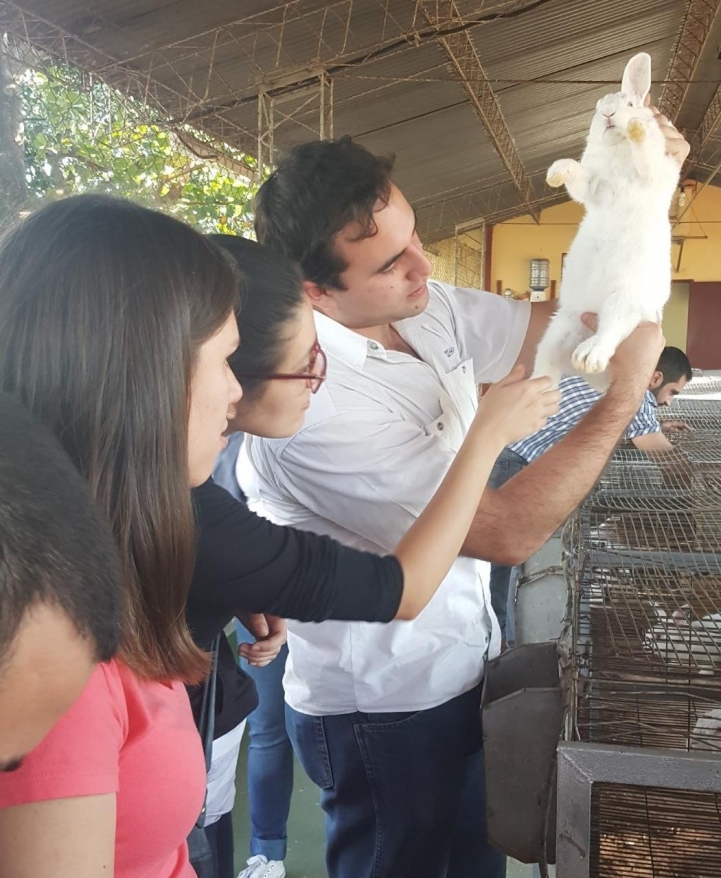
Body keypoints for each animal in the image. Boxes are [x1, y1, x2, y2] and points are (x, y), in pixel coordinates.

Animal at [532, 50, 676, 388]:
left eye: (632, 104)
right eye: (598, 107)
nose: (609, 114)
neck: (618, 147)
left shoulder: (652, 172)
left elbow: (646, 156)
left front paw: (637, 129)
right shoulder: (595, 186)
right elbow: (578, 175)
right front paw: (556, 173)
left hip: (625, 295)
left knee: (613, 327)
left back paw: (589, 356)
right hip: (559, 330)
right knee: (546, 374)